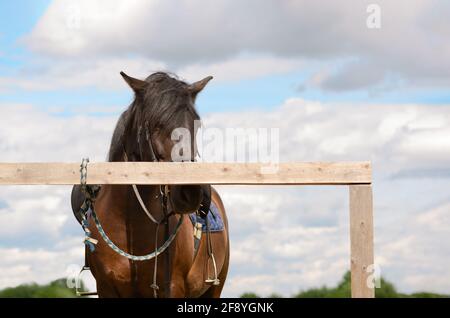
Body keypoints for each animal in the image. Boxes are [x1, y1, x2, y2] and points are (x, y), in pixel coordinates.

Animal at [73, 71, 232, 296]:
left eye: (196, 125)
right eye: (155, 123)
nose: (190, 190)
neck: (130, 221)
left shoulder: (173, 286)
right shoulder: (106, 287)